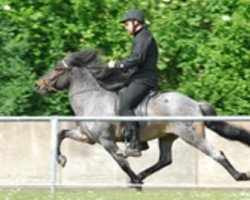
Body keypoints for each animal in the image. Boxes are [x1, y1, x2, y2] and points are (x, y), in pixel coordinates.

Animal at [34, 48, 250, 184]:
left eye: (57, 69)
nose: (38, 85)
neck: (92, 98)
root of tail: (195, 104)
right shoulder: (88, 137)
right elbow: (60, 134)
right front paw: (61, 159)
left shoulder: (106, 140)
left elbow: (121, 162)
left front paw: (135, 180)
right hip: (167, 136)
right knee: (165, 160)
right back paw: (143, 175)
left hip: (191, 136)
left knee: (216, 153)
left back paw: (240, 176)